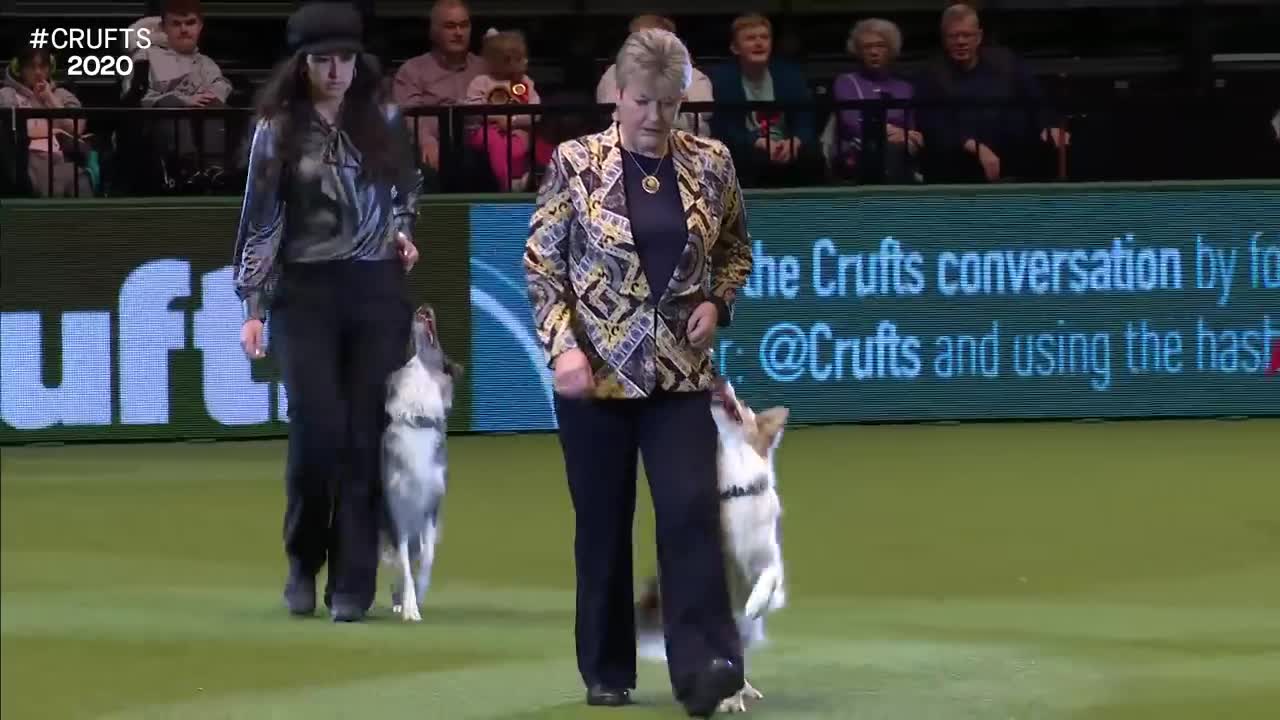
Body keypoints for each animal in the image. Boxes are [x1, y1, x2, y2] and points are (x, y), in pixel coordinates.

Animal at [378, 299, 465, 620]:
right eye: (408, 342)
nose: (424, 306)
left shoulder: (430, 507)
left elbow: (427, 558)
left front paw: (420, 593)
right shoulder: (397, 514)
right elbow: (403, 564)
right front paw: (411, 607)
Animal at [634, 379, 783, 707]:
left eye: (743, 404)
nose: (720, 380)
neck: (737, 486)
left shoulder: (769, 558)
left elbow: (770, 579)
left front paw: (756, 603)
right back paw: (730, 695)